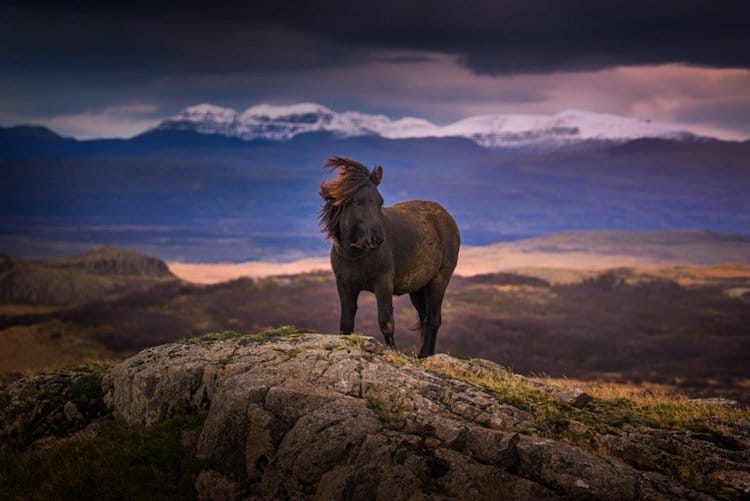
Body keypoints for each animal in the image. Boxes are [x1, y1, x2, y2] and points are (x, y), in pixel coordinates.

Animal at [320, 156, 462, 356]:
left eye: (380, 202)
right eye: (358, 202)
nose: (377, 238)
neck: (355, 255)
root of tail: (447, 218)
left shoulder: (383, 284)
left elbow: (386, 322)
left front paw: (393, 352)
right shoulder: (345, 286)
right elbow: (346, 324)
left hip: (439, 281)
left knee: (433, 320)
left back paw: (424, 355)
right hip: (418, 288)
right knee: (426, 318)